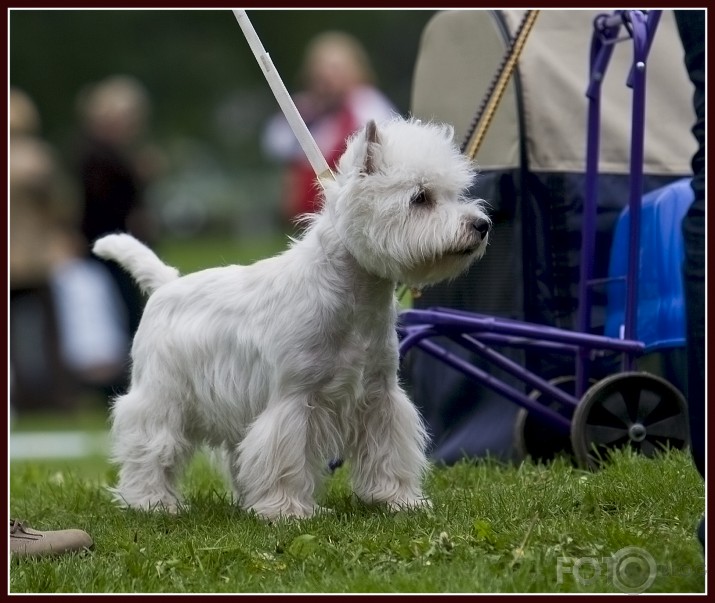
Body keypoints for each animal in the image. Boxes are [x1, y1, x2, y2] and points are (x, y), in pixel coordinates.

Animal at [92, 117, 490, 520]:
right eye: (420, 197)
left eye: (456, 194)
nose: (481, 225)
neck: (356, 300)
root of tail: (166, 284)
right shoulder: (294, 397)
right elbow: (286, 454)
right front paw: (288, 511)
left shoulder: (380, 395)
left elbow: (389, 450)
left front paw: (399, 500)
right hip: (162, 394)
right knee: (152, 446)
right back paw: (153, 502)